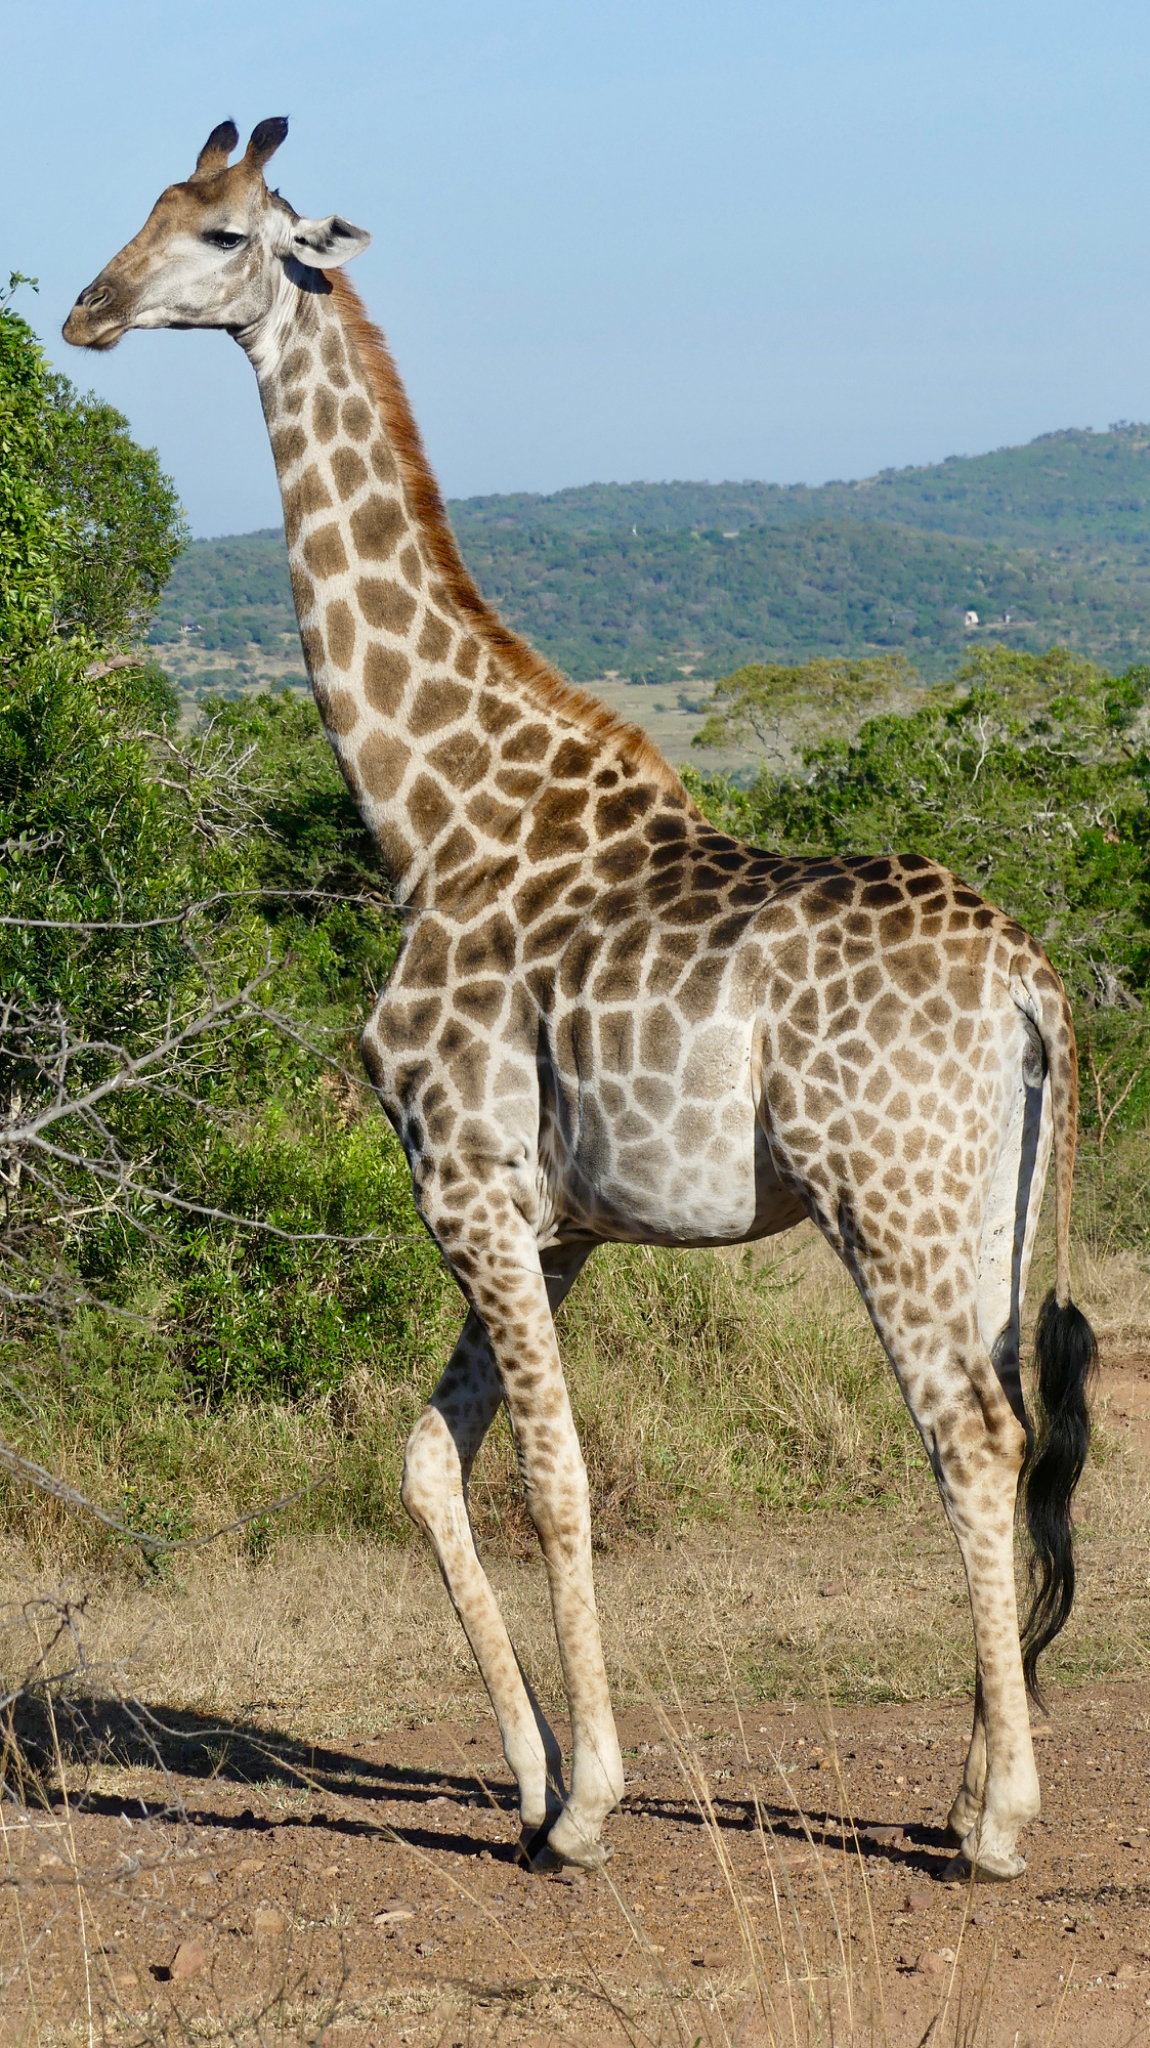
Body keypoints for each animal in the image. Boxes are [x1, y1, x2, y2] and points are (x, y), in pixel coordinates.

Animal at [66, 118, 1097, 1882]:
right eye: (146, 208)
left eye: (217, 233)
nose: (85, 310)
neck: (431, 819)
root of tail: (1031, 983)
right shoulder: (551, 1218)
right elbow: (428, 1461)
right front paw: (530, 1781)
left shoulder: (467, 1181)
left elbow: (551, 1478)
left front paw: (595, 1802)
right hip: (977, 1202)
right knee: (1010, 1430)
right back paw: (967, 1787)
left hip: (879, 1195)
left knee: (965, 1436)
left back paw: (999, 1827)